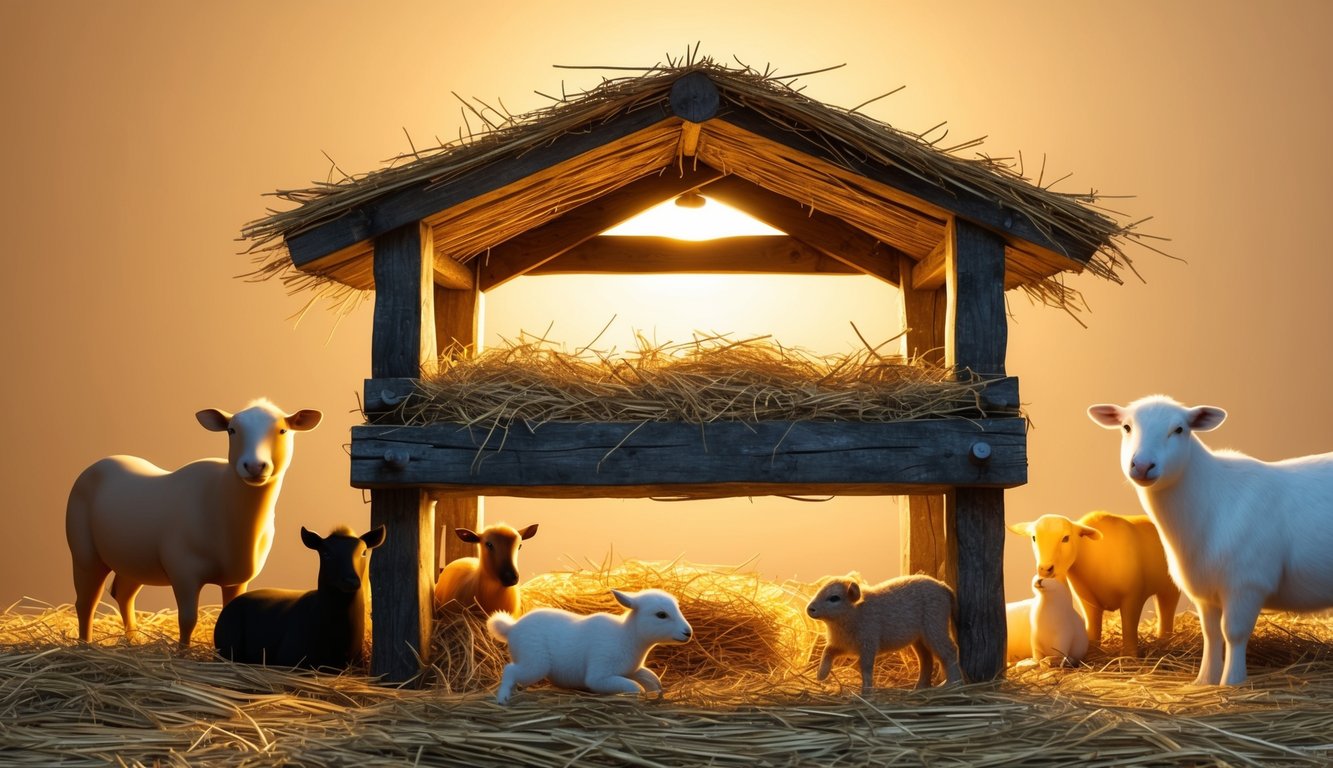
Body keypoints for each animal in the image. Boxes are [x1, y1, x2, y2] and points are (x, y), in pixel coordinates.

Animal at [65, 402, 322, 648]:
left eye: (283, 430)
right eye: (231, 430)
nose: (254, 466)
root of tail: (102, 462)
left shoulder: (236, 579)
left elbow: (230, 612)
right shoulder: (184, 570)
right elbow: (188, 619)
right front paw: (182, 653)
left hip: (135, 558)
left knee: (123, 594)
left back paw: (133, 640)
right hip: (85, 553)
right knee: (86, 602)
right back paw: (85, 645)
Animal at [485, 586, 693, 709]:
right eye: (661, 615)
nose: (688, 632)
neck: (626, 636)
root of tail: (512, 628)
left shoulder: (632, 670)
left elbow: (651, 679)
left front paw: (656, 694)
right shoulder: (599, 675)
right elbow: (635, 687)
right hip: (534, 663)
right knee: (510, 670)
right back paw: (502, 698)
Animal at [799, 573, 959, 693]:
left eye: (834, 598)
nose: (810, 609)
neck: (855, 613)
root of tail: (944, 587)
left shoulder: (868, 644)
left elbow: (866, 668)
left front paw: (866, 693)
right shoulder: (843, 645)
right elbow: (827, 651)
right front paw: (821, 675)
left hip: (935, 627)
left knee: (950, 651)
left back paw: (951, 684)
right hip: (919, 639)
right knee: (926, 658)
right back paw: (919, 687)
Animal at [1087, 394, 1333, 682]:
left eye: (1179, 429)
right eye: (1126, 427)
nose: (1143, 465)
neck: (1211, 497)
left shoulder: (1247, 583)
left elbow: (1234, 634)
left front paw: (1232, 682)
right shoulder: (1204, 588)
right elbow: (1211, 634)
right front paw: (1205, 680)